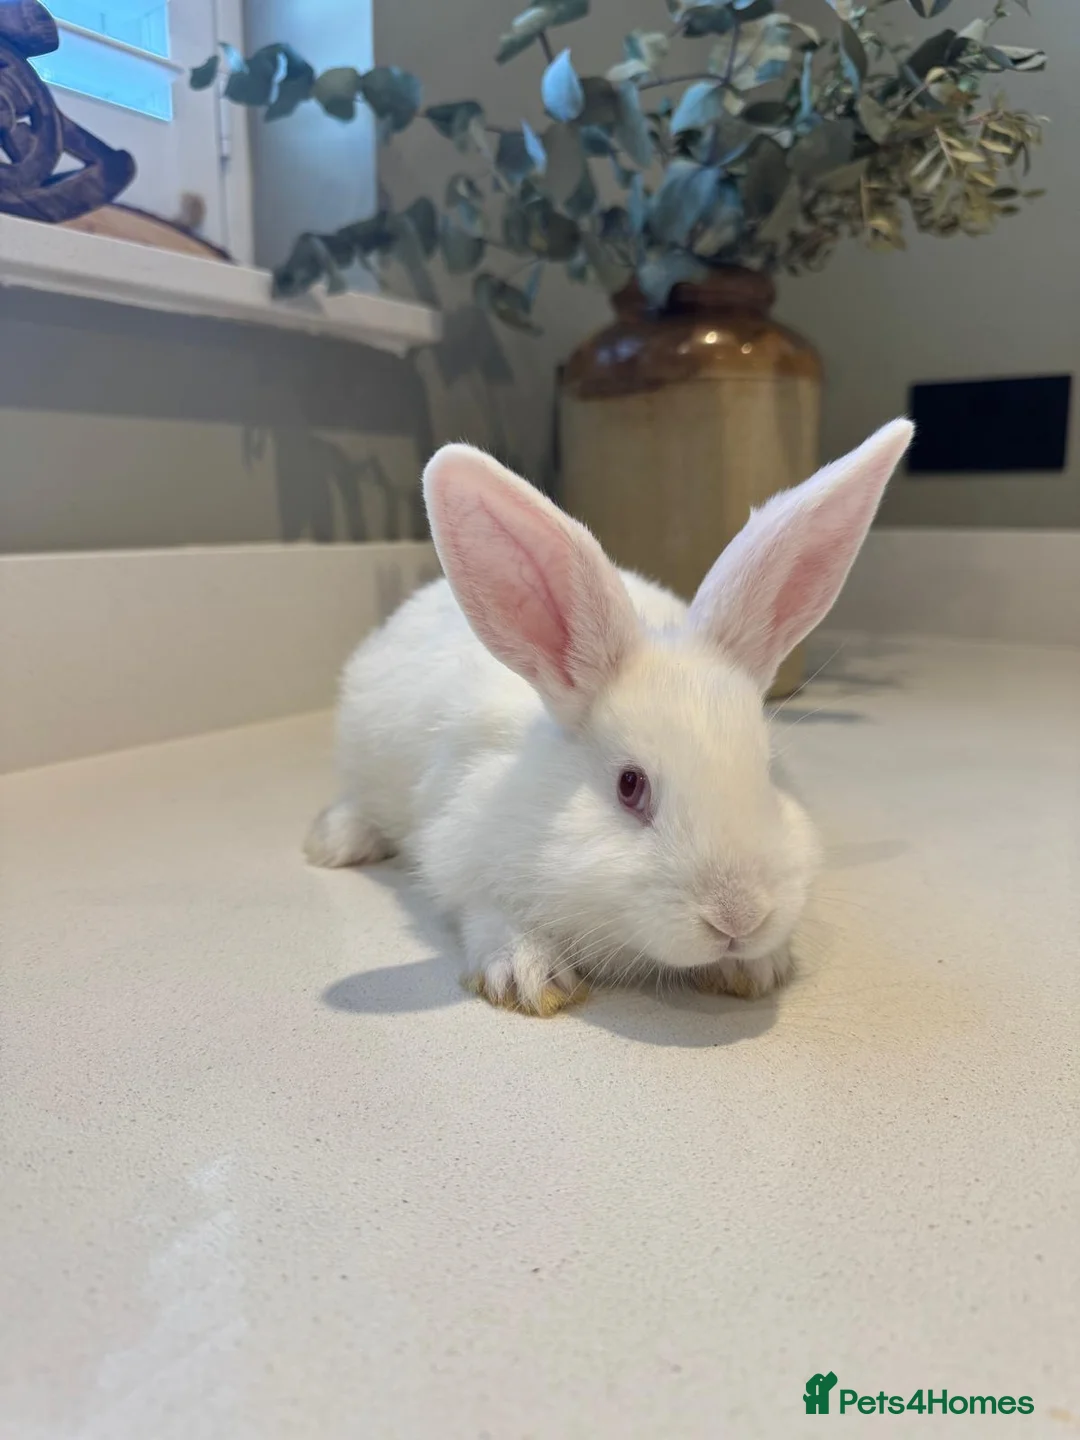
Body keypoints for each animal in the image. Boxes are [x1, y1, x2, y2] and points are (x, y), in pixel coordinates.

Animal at [306, 418, 913, 1016]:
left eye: (767, 772)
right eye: (629, 785)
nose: (738, 918)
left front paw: (757, 967)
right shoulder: (463, 856)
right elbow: (489, 917)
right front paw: (530, 977)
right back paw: (334, 844)